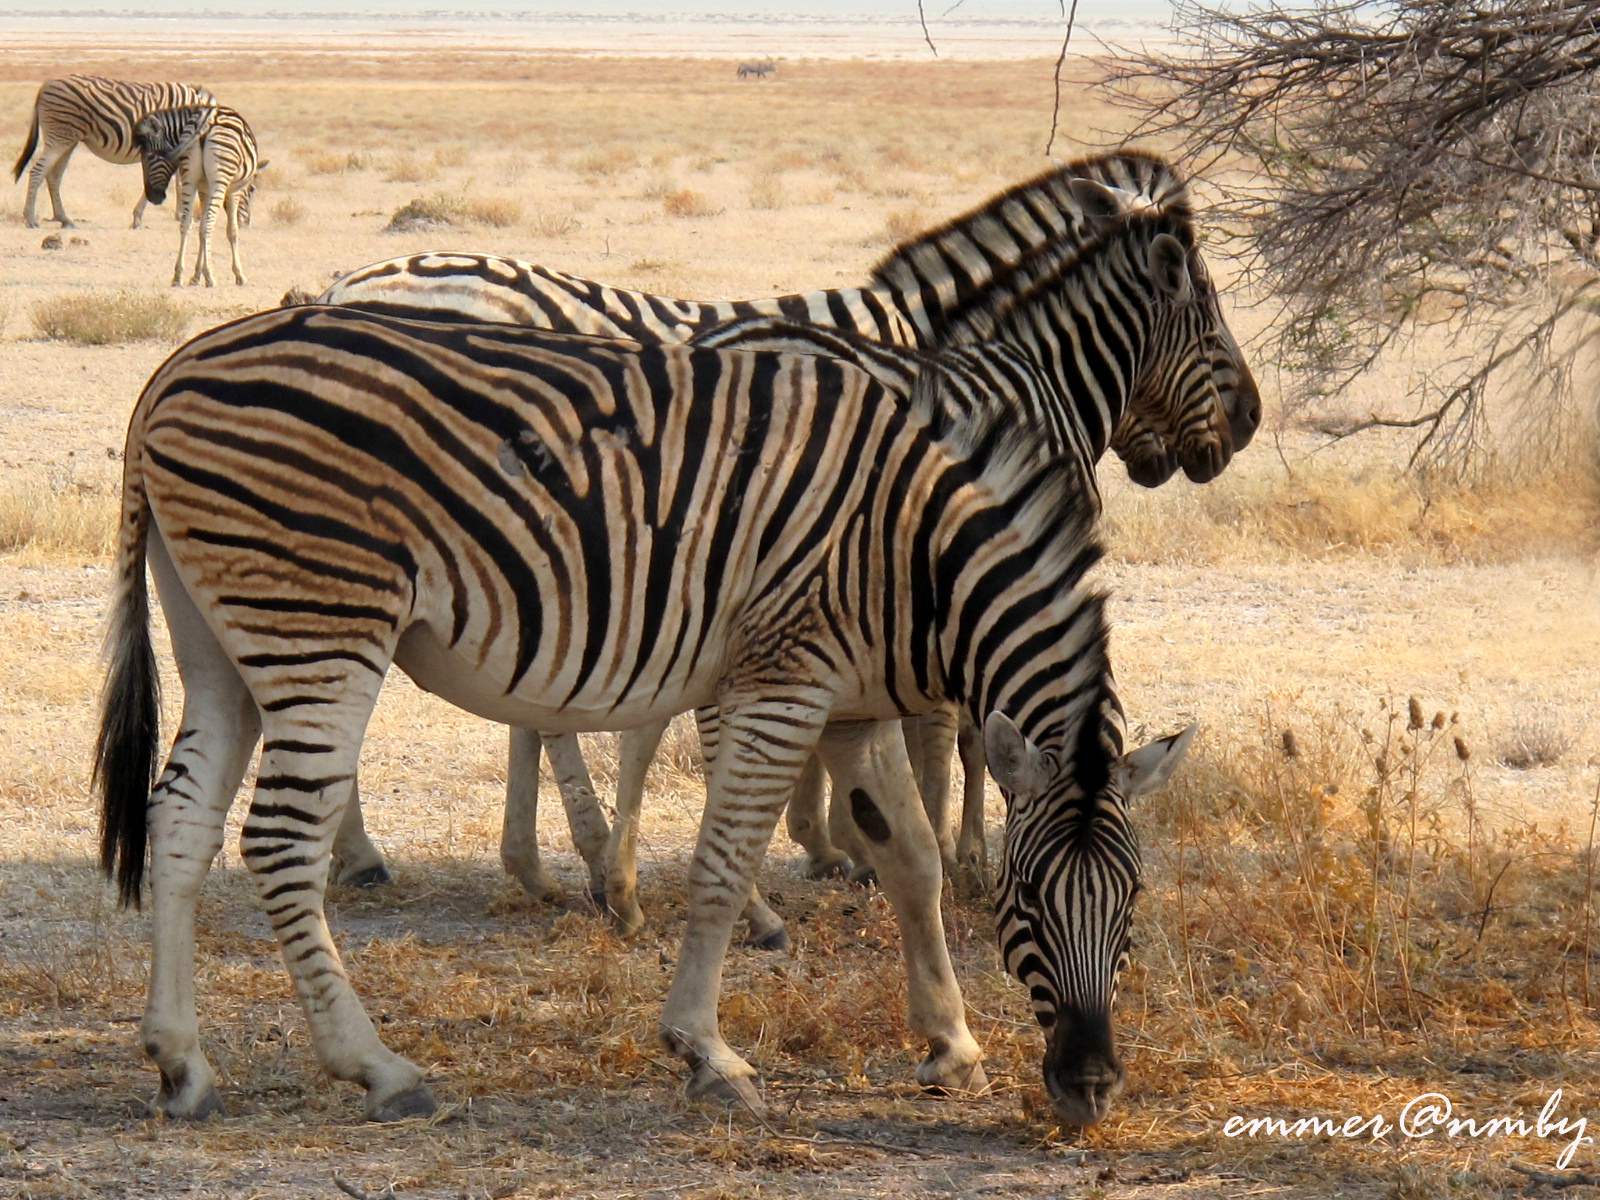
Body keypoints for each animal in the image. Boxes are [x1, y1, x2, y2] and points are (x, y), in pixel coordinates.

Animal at [9, 72, 217, 230]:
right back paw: (31, 219)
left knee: (53, 176)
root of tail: (45, 85)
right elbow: (178, 179)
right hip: (59, 137)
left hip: (68, 140)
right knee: (38, 171)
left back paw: (64, 219)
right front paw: (180, 214)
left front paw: (177, 213)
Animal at [93, 299, 1190, 1126]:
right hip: (319, 624)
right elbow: (723, 866)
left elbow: (910, 861)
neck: (914, 549)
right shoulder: (784, 679)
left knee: (180, 821)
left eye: (1134, 902)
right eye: (1026, 899)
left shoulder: (851, 706)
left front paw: (950, 1044)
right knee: (280, 842)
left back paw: (181, 1062)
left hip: (221, 642)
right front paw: (707, 1053)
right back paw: (379, 1069)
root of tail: (175, 367)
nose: (1089, 1090)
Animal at [132, 104, 264, 289]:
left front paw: (195, 276)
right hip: (220, 178)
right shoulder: (233, 191)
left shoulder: (203, 189)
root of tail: (207, 119)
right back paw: (210, 277)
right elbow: (231, 231)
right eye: (251, 190)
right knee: (209, 223)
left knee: (186, 223)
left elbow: (199, 230)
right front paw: (238, 275)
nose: (153, 197)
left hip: (190, 177)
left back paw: (178, 275)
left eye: (150, 156)